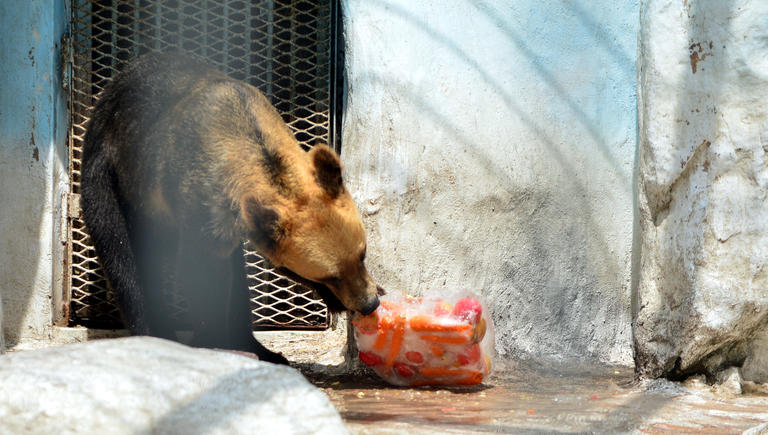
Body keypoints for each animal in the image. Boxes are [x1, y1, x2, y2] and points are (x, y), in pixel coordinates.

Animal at [81, 52, 380, 364]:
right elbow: (202, 275)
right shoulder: (201, 204)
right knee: (122, 256)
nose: (370, 303)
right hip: (110, 174)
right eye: (329, 275)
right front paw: (213, 340)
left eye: (362, 254)